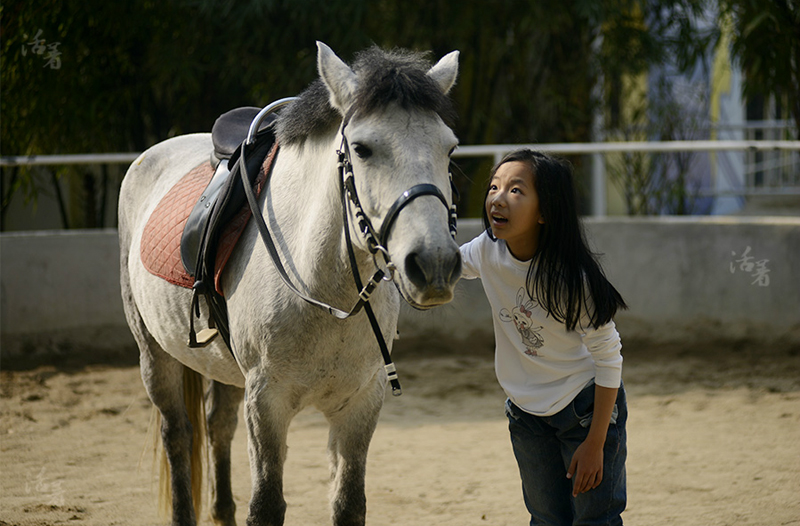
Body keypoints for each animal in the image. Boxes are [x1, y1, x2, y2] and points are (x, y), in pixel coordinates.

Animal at [118, 42, 462, 526]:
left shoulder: (361, 402)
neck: (323, 292)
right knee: (178, 434)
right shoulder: (267, 403)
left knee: (217, 425)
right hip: (154, 353)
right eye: (361, 149)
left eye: (449, 149)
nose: (433, 264)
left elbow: (348, 503)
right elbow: (266, 505)